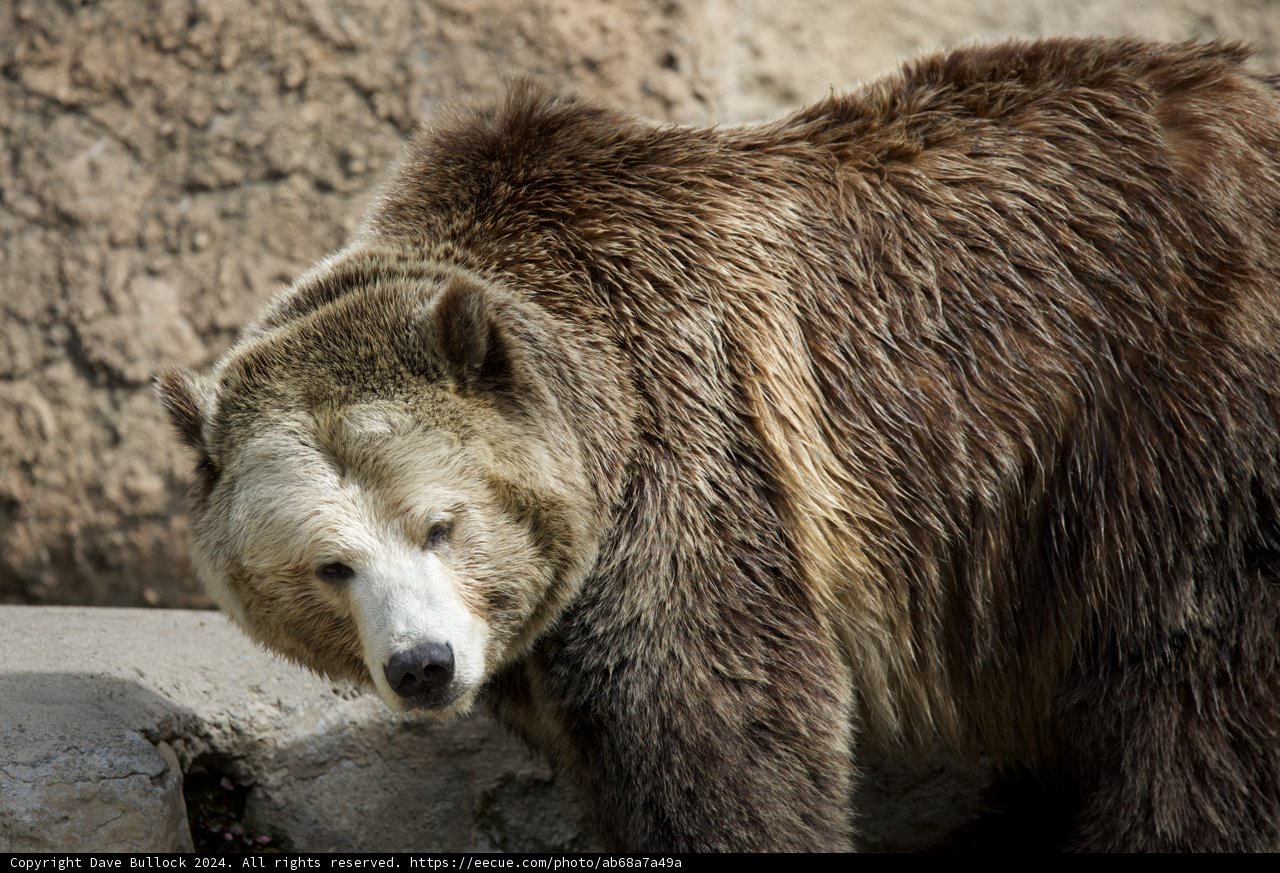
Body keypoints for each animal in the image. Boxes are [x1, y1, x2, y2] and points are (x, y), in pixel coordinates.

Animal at [158, 37, 1280, 851]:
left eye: (441, 522)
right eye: (329, 564)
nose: (424, 666)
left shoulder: (692, 441)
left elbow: (719, 725)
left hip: (1172, 397)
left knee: (1198, 678)